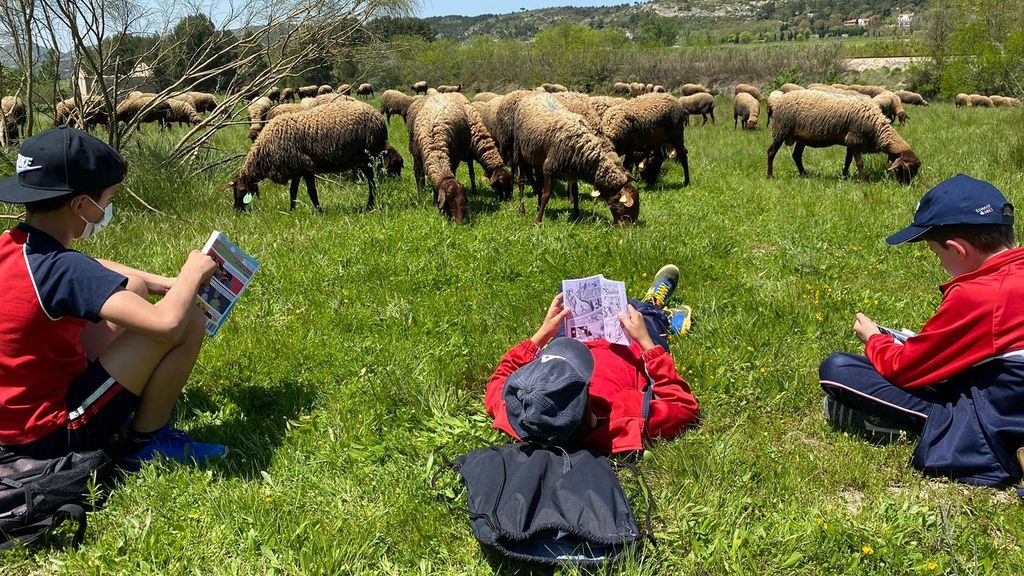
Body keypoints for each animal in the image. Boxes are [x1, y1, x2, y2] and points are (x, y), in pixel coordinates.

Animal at [516, 92, 634, 224]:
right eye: (622, 205)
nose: (627, 225)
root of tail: (535, 94)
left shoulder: (573, 170)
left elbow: (575, 192)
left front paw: (577, 215)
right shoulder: (550, 168)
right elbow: (547, 195)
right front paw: (537, 221)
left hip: (537, 158)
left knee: (539, 183)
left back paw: (537, 206)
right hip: (519, 151)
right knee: (521, 182)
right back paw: (522, 210)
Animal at [765, 90, 925, 183]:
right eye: (907, 168)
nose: (906, 186)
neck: (877, 128)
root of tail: (777, 101)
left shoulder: (851, 141)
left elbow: (848, 161)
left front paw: (845, 176)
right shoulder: (855, 138)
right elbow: (859, 163)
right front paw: (863, 182)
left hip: (800, 137)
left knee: (796, 155)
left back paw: (804, 174)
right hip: (781, 130)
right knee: (771, 152)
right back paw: (770, 176)